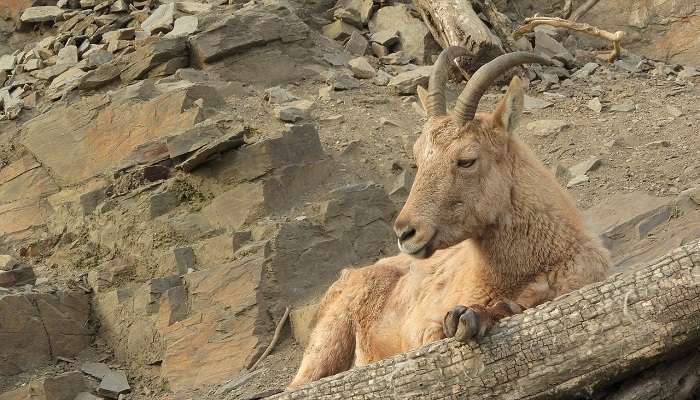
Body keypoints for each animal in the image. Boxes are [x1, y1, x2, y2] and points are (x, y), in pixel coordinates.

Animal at [288, 47, 608, 388]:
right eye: (417, 158)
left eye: (466, 160)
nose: (405, 232)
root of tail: (349, 273)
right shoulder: (421, 329)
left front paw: (477, 317)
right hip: (328, 339)